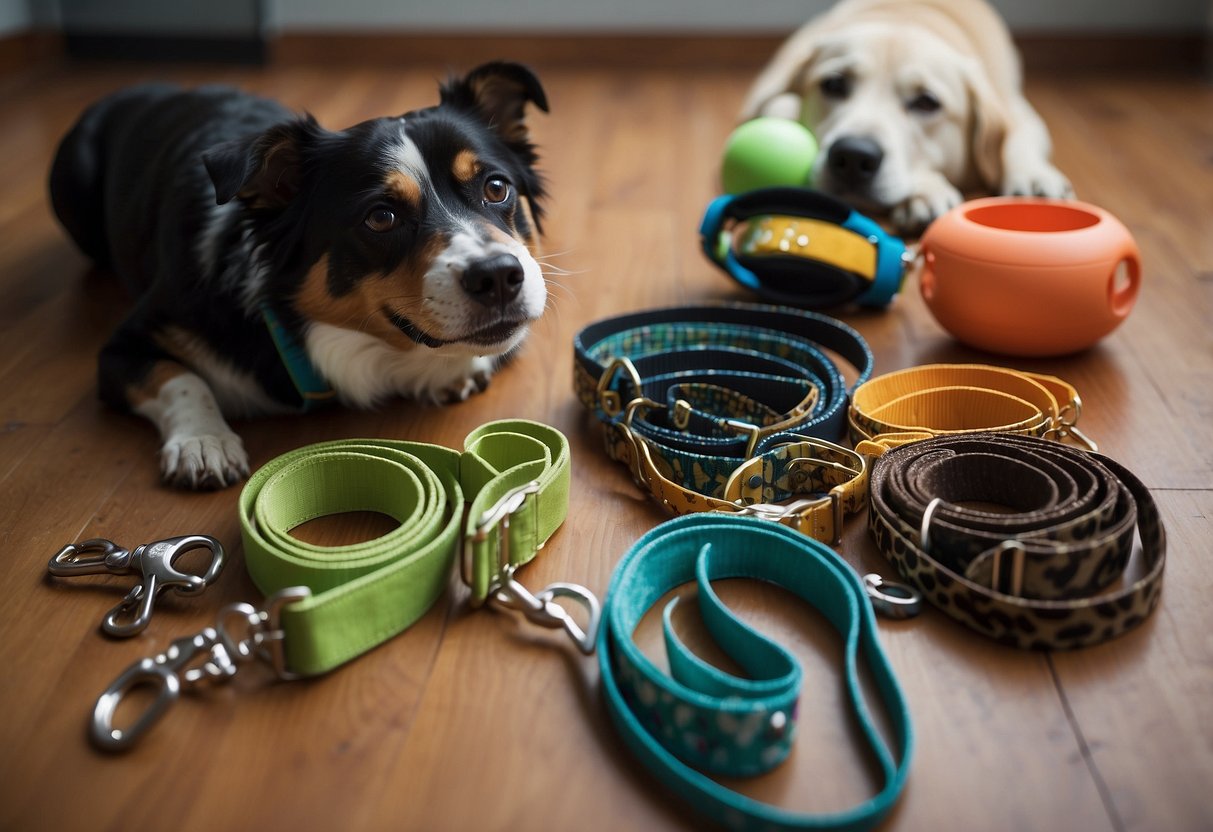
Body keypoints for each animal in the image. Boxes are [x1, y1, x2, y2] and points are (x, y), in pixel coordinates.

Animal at [48, 63, 550, 489]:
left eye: (496, 187)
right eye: (381, 217)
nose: (499, 277)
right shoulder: (124, 346)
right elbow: (181, 378)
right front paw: (204, 442)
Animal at [737, 0, 1072, 232]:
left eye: (927, 102)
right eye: (833, 84)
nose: (853, 157)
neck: (905, 17)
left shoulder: (1017, 109)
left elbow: (1017, 138)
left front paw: (1034, 177)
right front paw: (925, 190)